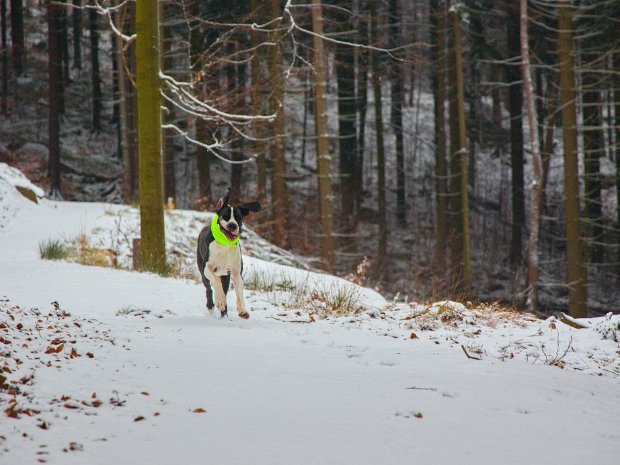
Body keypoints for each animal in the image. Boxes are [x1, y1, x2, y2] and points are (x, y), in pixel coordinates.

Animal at [196, 188, 260, 320]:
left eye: (238, 218)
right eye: (225, 216)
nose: (232, 225)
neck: (224, 244)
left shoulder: (236, 272)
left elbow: (239, 292)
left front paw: (242, 310)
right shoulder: (207, 267)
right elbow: (215, 281)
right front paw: (220, 300)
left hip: (225, 276)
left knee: (223, 288)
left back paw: (224, 315)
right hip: (202, 271)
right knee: (209, 288)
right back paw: (211, 305)